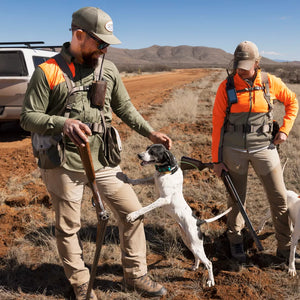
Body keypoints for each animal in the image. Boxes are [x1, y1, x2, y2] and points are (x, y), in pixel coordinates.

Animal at [125, 144, 231, 288]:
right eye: (147, 148)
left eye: (152, 152)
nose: (139, 155)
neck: (166, 172)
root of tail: (198, 221)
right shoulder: (153, 180)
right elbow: (142, 180)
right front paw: (127, 179)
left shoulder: (163, 199)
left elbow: (145, 208)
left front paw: (133, 215)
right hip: (189, 242)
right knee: (197, 257)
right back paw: (195, 267)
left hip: (196, 244)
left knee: (209, 263)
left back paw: (210, 281)